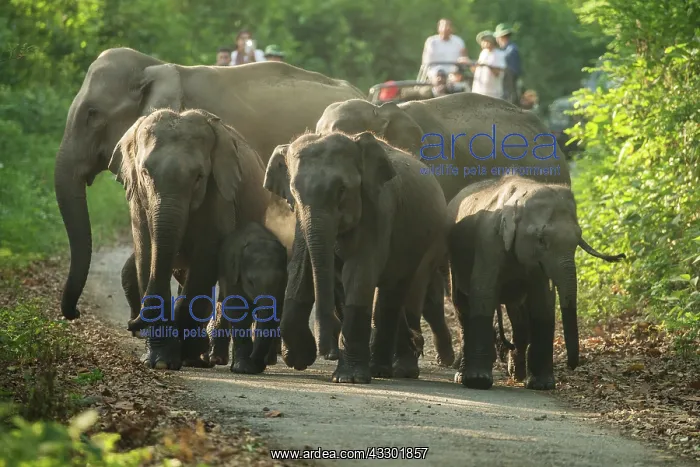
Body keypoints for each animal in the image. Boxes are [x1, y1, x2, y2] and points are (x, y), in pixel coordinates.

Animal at [112, 108, 270, 370]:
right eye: (145, 173)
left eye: (198, 177)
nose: (132, 324)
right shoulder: (137, 201)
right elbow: (146, 253)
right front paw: (159, 360)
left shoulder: (219, 194)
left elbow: (206, 256)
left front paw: (180, 356)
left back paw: (209, 358)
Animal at [206, 221, 288, 374]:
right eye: (250, 282)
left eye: (281, 280)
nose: (257, 364)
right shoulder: (232, 275)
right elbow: (238, 311)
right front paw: (244, 369)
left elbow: (276, 313)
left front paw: (254, 366)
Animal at [263, 131, 450, 384]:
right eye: (293, 193)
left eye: (342, 189)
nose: (325, 351)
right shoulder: (301, 220)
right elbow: (301, 268)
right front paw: (298, 357)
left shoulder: (379, 209)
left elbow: (359, 274)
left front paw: (348, 379)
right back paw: (383, 366)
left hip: (426, 242)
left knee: (400, 290)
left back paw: (395, 370)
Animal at [446, 175, 625, 390]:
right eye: (541, 240)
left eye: (578, 240)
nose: (573, 365)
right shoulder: (488, 241)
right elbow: (483, 293)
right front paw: (478, 382)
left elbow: (543, 303)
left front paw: (542, 385)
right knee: (462, 307)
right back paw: (464, 376)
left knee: (518, 317)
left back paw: (518, 376)